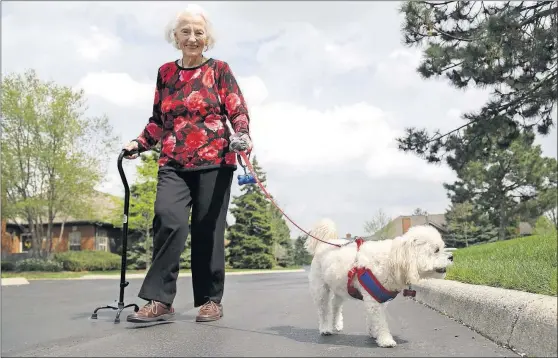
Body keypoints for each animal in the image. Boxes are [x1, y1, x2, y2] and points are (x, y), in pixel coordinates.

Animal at [306, 219, 456, 348]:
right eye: (436, 250)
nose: (452, 257)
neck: (392, 260)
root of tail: (325, 243)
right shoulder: (373, 301)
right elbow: (380, 322)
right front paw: (385, 340)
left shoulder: (378, 297)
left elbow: (374, 320)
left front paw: (374, 333)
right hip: (321, 289)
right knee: (323, 309)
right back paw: (325, 328)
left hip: (340, 287)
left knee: (335, 305)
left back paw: (336, 324)